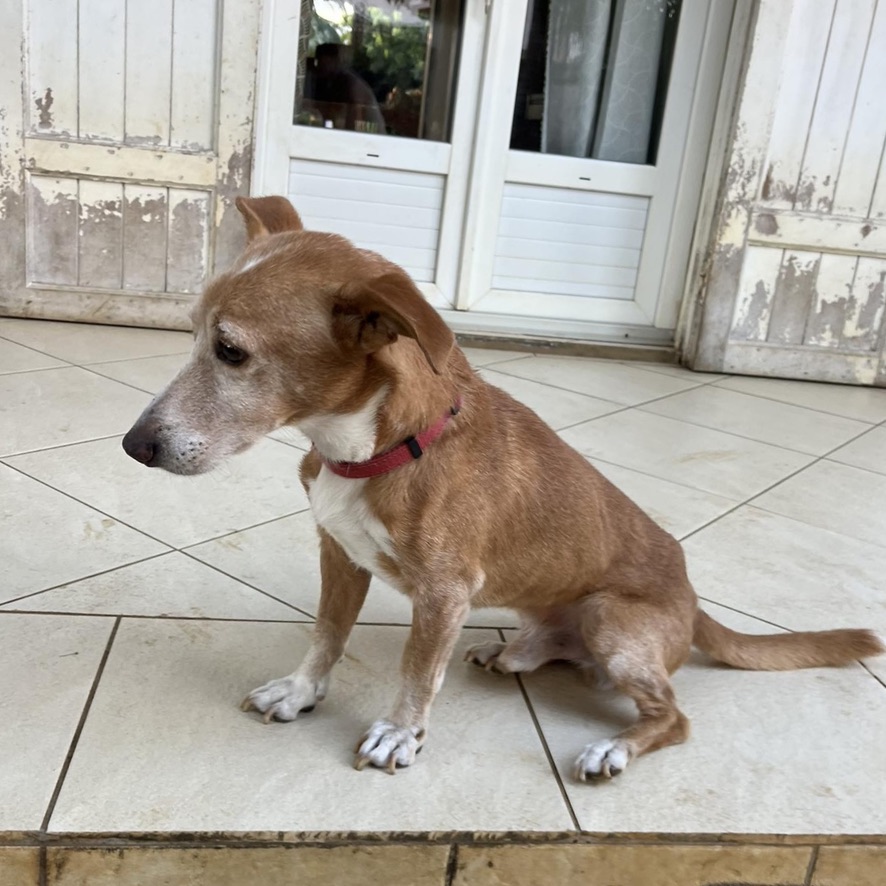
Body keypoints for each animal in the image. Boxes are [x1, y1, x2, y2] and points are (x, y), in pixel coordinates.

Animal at [121, 196, 884, 784]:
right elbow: (326, 635)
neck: (378, 447)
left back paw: (613, 748)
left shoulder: (444, 594)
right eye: (193, 334)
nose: (134, 446)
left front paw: (399, 733)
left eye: (231, 352)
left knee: (675, 716)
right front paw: (301, 691)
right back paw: (515, 652)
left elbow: (416, 670)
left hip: (614, 621)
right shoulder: (339, 555)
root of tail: (695, 604)